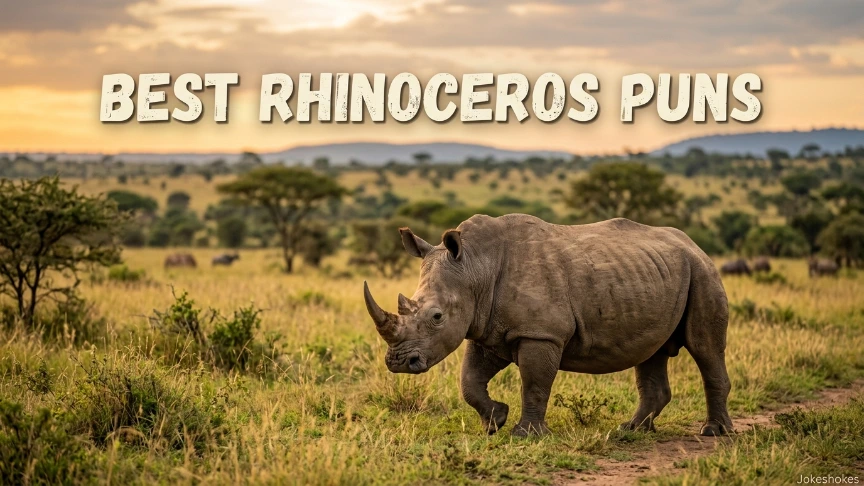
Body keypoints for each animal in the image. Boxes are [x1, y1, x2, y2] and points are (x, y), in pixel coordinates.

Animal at [363, 215, 732, 437]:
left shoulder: (540, 333)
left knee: (705, 347)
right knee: (651, 352)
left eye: (437, 317)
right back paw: (631, 430)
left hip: (702, 272)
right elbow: (469, 380)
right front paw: (495, 421)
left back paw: (714, 433)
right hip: (659, 274)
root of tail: (694, 245)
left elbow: (534, 382)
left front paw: (525, 434)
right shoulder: (488, 329)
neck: (476, 267)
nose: (398, 363)